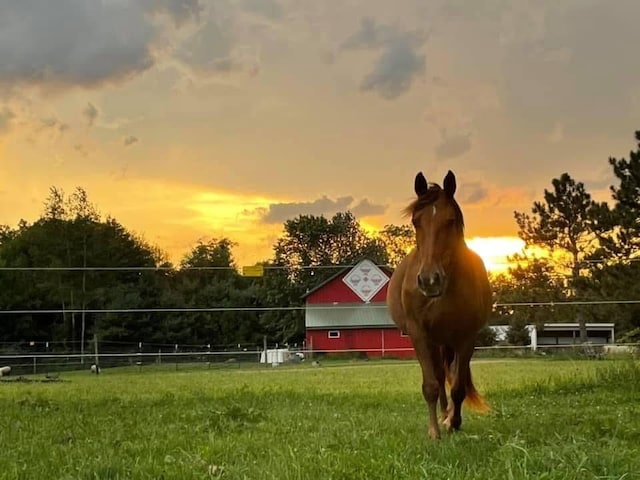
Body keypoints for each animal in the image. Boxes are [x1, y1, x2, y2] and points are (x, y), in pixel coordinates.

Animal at [384, 169, 496, 438]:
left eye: (450, 220)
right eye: (416, 221)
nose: (429, 280)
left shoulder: (465, 338)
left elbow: (458, 387)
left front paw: (454, 422)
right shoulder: (419, 334)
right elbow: (431, 385)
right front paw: (434, 432)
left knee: (450, 375)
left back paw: (450, 417)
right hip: (435, 341)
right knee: (439, 374)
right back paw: (443, 416)